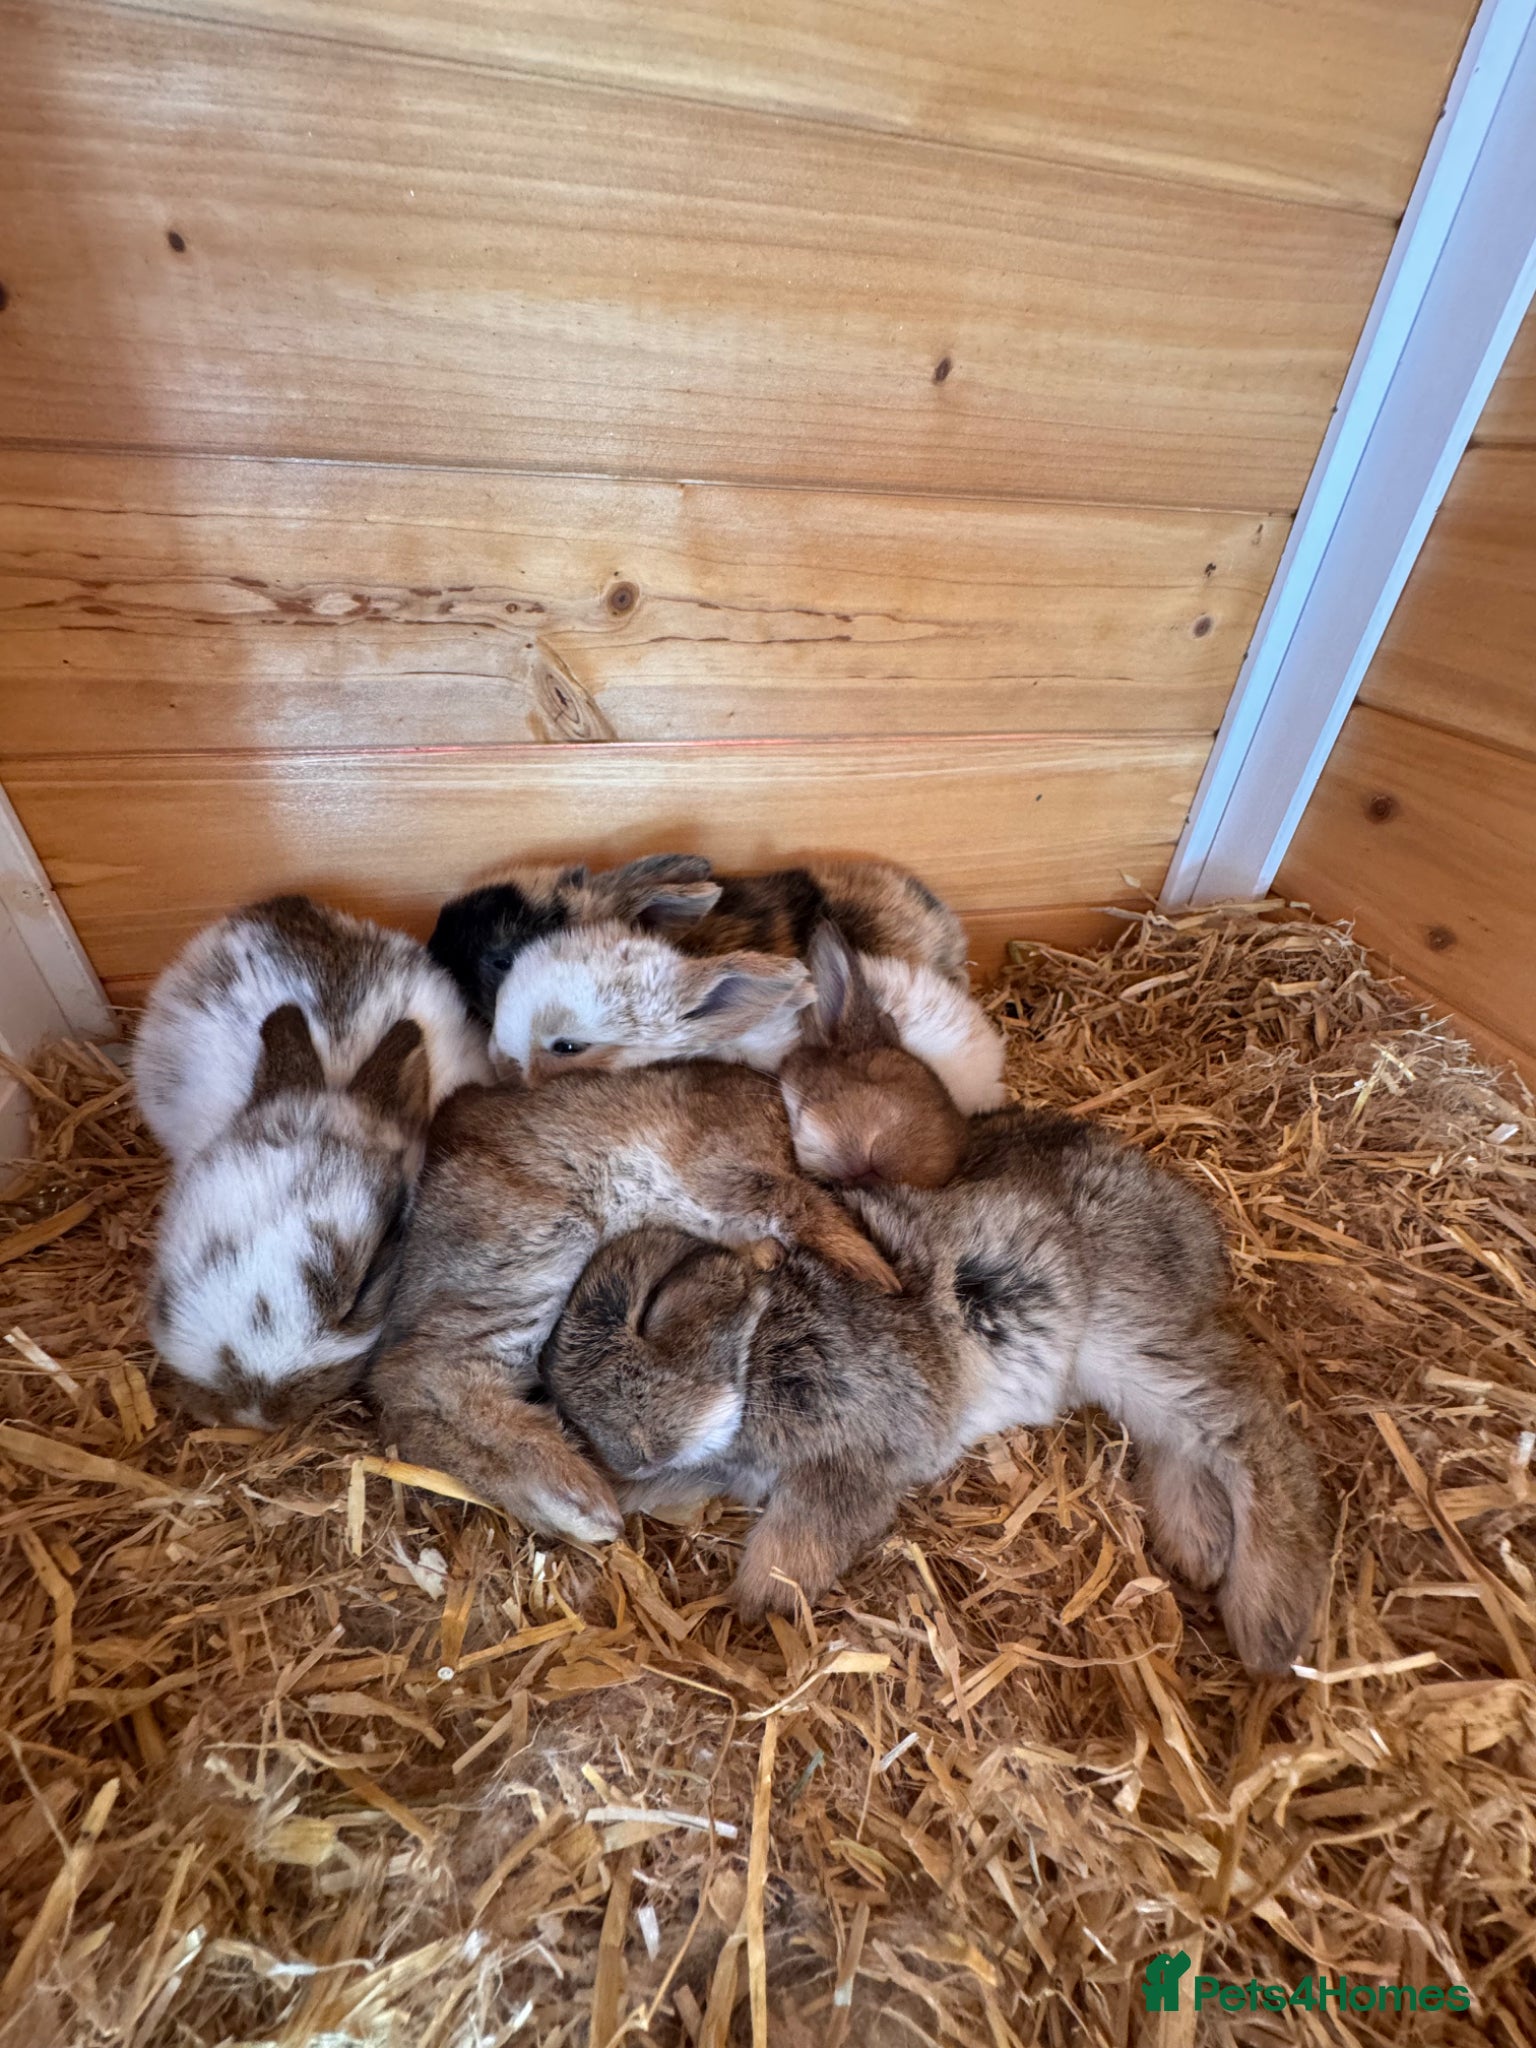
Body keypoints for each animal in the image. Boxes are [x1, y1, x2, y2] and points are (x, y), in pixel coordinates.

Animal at [369, 1060, 906, 1547]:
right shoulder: (728, 1169)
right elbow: (797, 1204)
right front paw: (877, 1271)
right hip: (539, 1249)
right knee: (422, 1378)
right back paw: (581, 1503)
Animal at [542, 1105, 1329, 1676]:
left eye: (654, 1302)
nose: (635, 1451)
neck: (760, 1337)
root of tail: (1190, 1221)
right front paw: (610, 1500)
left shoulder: (863, 1449)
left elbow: (803, 1534)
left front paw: (754, 1604)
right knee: (1184, 1436)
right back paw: (1197, 1543)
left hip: (1123, 1332)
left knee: (1248, 1425)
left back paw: (1267, 1622)